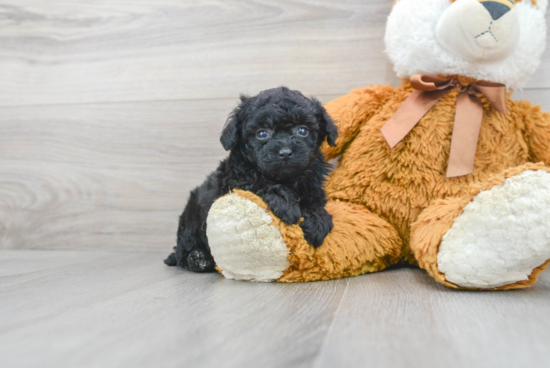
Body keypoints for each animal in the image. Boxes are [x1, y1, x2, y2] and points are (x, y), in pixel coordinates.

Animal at [164, 85, 338, 270]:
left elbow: (314, 201)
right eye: (262, 133)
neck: (287, 179)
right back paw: (198, 259)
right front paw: (287, 205)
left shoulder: (312, 185)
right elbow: (260, 181)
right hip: (191, 219)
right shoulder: (237, 178)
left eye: (302, 130)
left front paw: (318, 222)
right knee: (183, 252)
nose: (285, 152)